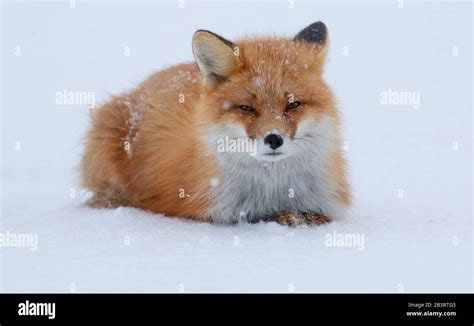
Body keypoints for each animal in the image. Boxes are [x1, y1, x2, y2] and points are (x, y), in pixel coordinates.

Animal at [80, 21, 352, 225]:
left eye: (293, 105)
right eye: (247, 108)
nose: (274, 139)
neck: (274, 190)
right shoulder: (215, 209)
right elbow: (256, 216)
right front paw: (285, 217)